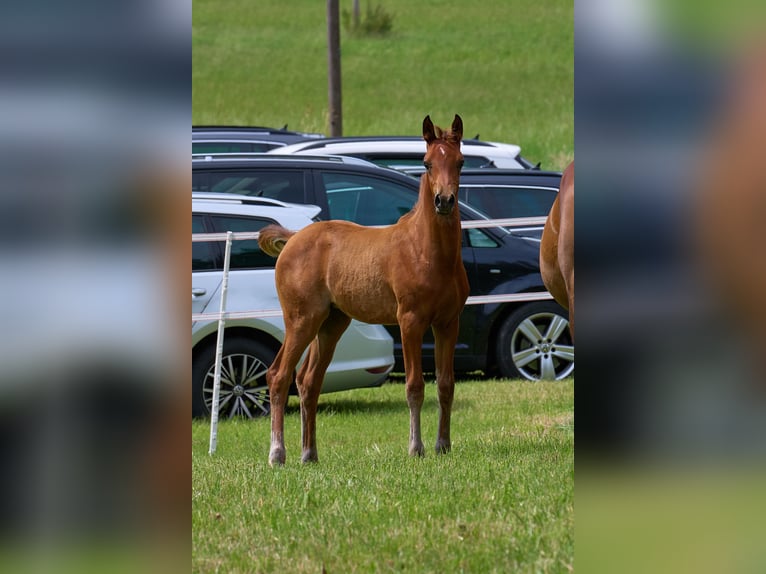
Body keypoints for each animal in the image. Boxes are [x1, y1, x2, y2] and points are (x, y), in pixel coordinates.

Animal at [258, 115, 470, 465]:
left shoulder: (448, 322)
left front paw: (444, 445)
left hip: (330, 323)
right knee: (279, 376)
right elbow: (414, 386)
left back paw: (309, 454)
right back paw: (278, 454)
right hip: (301, 320)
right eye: (426, 163)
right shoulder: (410, 321)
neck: (427, 251)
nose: (444, 201)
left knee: (308, 381)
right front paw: (416, 448)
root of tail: (293, 239)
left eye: (460, 162)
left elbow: (446, 384)